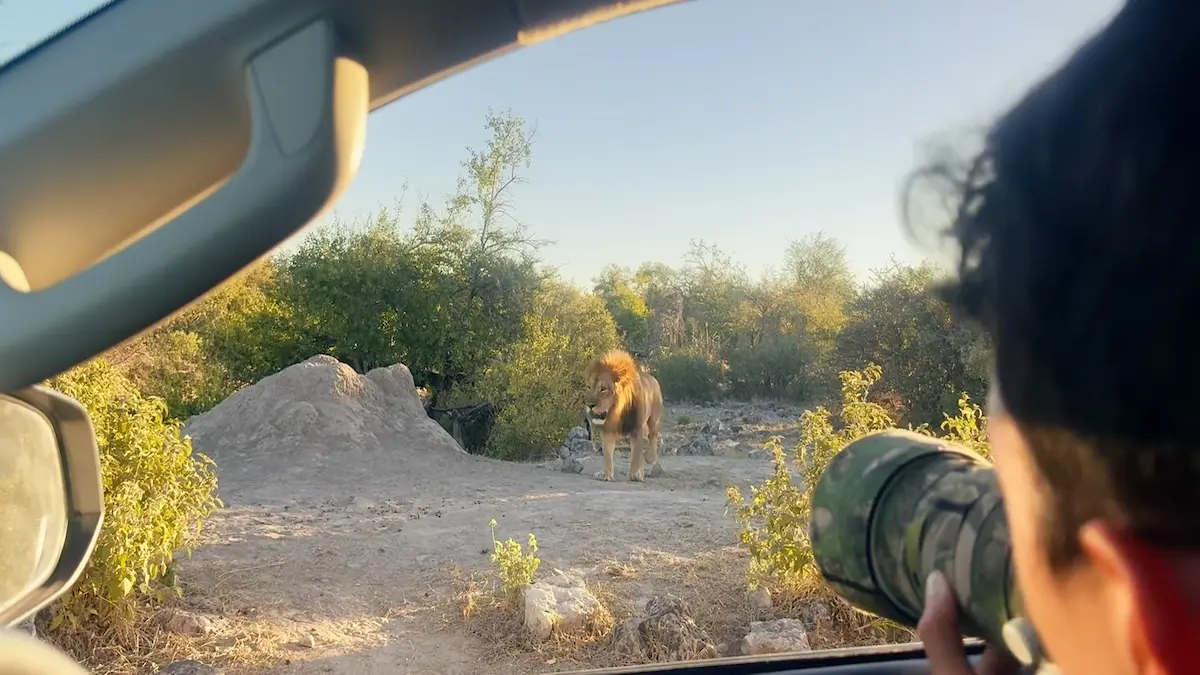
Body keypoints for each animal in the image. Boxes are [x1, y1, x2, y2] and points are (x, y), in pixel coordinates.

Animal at [583, 349, 664, 482]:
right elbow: (607, 452)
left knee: (653, 434)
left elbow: (636, 453)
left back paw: (650, 457)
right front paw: (605, 474)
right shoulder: (608, 430)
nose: (589, 405)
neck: (617, 412)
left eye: (603, 388)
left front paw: (635, 474)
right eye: (589, 387)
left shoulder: (637, 427)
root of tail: (651, 377)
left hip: (654, 418)